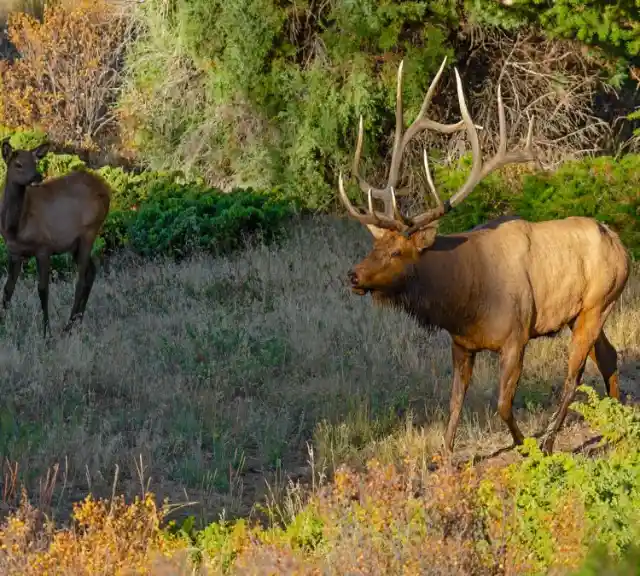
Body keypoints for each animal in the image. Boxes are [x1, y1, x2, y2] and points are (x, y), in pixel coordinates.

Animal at [0, 139, 112, 338]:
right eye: (18, 164)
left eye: (35, 161)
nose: (37, 176)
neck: (15, 227)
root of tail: (107, 191)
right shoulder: (14, 251)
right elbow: (7, 289)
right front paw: (3, 327)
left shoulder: (43, 247)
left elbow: (43, 290)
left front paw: (46, 333)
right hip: (75, 244)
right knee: (92, 270)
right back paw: (78, 320)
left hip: (89, 231)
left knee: (81, 279)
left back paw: (68, 326)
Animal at [340, 57, 632, 454]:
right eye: (375, 246)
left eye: (398, 251)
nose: (353, 275)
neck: (464, 301)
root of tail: (622, 245)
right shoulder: (462, 344)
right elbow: (455, 401)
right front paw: (444, 454)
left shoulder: (516, 337)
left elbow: (502, 404)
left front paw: (524, 444)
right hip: (582, 313)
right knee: (609, 356)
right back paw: (618, 424)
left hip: (599, 302)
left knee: (575, 374)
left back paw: (550, 441)